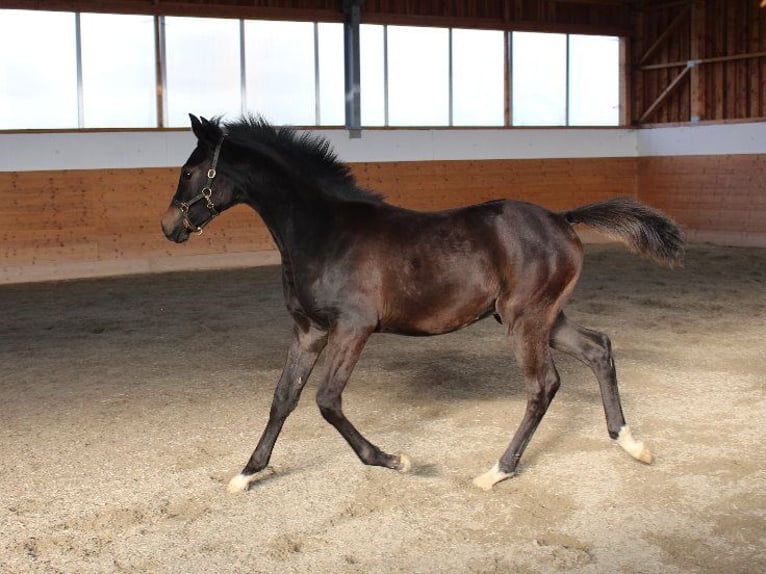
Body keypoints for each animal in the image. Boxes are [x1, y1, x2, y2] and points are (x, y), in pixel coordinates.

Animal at [161, 114, 685, 493]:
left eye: (188, 171)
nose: (169, 227)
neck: (324, 231)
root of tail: (562, 217)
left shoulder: (353, 328)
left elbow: (327, 401)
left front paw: (393, 460)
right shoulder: (308, 330)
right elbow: (282, 398)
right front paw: (248, 473)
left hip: (525, 319)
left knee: (543, 385)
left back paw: (498, 470)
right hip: (544, 318)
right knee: (598, 348)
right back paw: (630, 442)